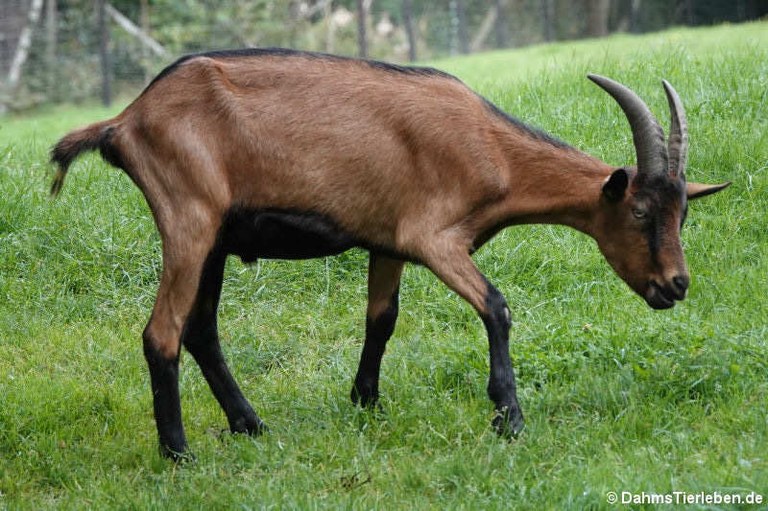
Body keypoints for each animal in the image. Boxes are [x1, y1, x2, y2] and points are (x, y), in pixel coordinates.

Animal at [51, 50, 728, 462]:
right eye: (639, 214)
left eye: (683, 214)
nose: (675, 284)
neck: (491, 148)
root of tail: (125, 121)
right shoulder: (434, 238)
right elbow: (497, 306)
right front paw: (507, 417)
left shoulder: (387, 242)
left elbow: (382, 319)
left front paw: (366, 402)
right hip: (187, 221)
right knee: (161, 333)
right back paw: (179, 453)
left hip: (215, 237)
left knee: (200, 330)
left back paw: (251, 425)